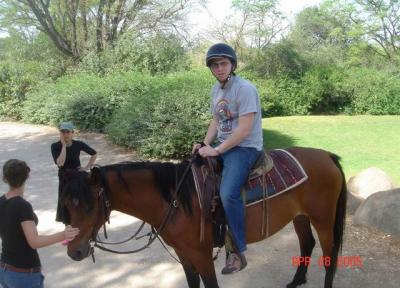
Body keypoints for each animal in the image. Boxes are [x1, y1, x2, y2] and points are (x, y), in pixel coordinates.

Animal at [62, 147, 346, 286]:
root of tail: (327, 155)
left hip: (323, 219)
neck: (176, 199)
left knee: (329, 255)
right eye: (67, 206)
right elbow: (193, 284)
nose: (74, 252)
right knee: (306, 244)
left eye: (89, 207)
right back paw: (296, 281)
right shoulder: (184, 254)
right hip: (300, 217)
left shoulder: (202, 254)